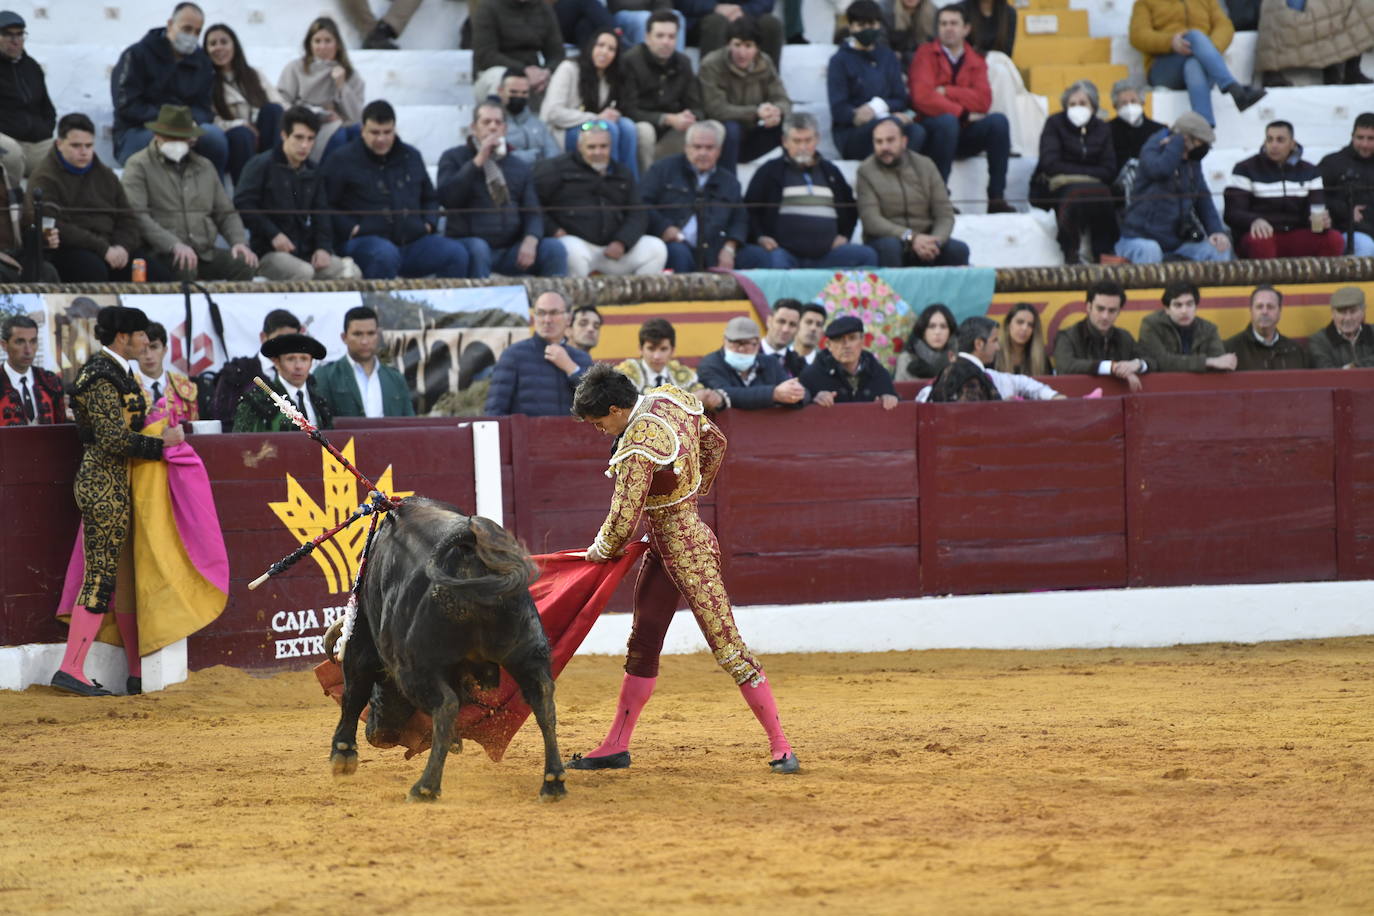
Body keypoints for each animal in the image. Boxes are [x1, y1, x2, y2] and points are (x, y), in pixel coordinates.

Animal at [324, 502, 566, 802]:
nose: (378, 736)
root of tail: (469, 554)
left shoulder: (362, 641)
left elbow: (353, 694)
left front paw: (343, 754)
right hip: (527, 651)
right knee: (542, 699)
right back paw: (553, 782)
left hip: (414, 667)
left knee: (446, 705)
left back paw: (425, 787)